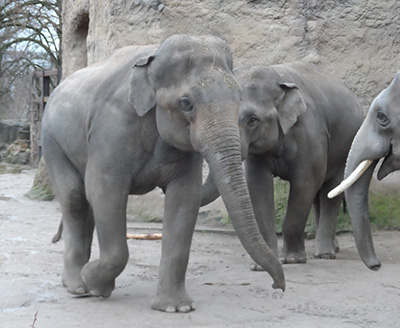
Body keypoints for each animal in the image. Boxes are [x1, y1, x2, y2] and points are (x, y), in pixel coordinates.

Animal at [41, 34, 284, 314]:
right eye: (186, 103)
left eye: (239, 97)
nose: (278, 287)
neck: (153, 59)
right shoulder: (111, 129)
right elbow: (105, 191)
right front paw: (92, 282)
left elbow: (185, 198)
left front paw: (176, 308)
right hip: (52, 141)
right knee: (75, 198)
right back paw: (77, 286)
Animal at [202, 62, 364, 266]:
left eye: (252, 120)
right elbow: (258, 185)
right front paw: (262, 265)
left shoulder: (310, 135)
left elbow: (305, 183)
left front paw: (292, 259)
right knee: (320, 194)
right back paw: (332, 248)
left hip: (346, 146)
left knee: (330, 190)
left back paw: (325, 254)